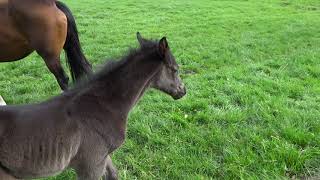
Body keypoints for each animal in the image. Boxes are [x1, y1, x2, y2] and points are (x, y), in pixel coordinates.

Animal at [0, 33, 186, 179]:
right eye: (175, 69)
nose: (183, 90)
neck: (103, 106)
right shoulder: (91, 164)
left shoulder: (103, 156)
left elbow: (114, 174)